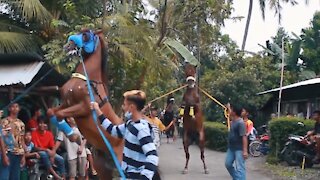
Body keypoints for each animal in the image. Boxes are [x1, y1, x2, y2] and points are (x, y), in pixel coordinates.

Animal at [47, 29, 124, 179]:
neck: (88, 81)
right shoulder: (66, 103)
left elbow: (60, 114)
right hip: (103, 167)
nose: (68, 45)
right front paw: (73, 136)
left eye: (86, 35)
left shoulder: (83, 108)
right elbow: (52, 112)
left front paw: (74, 136)